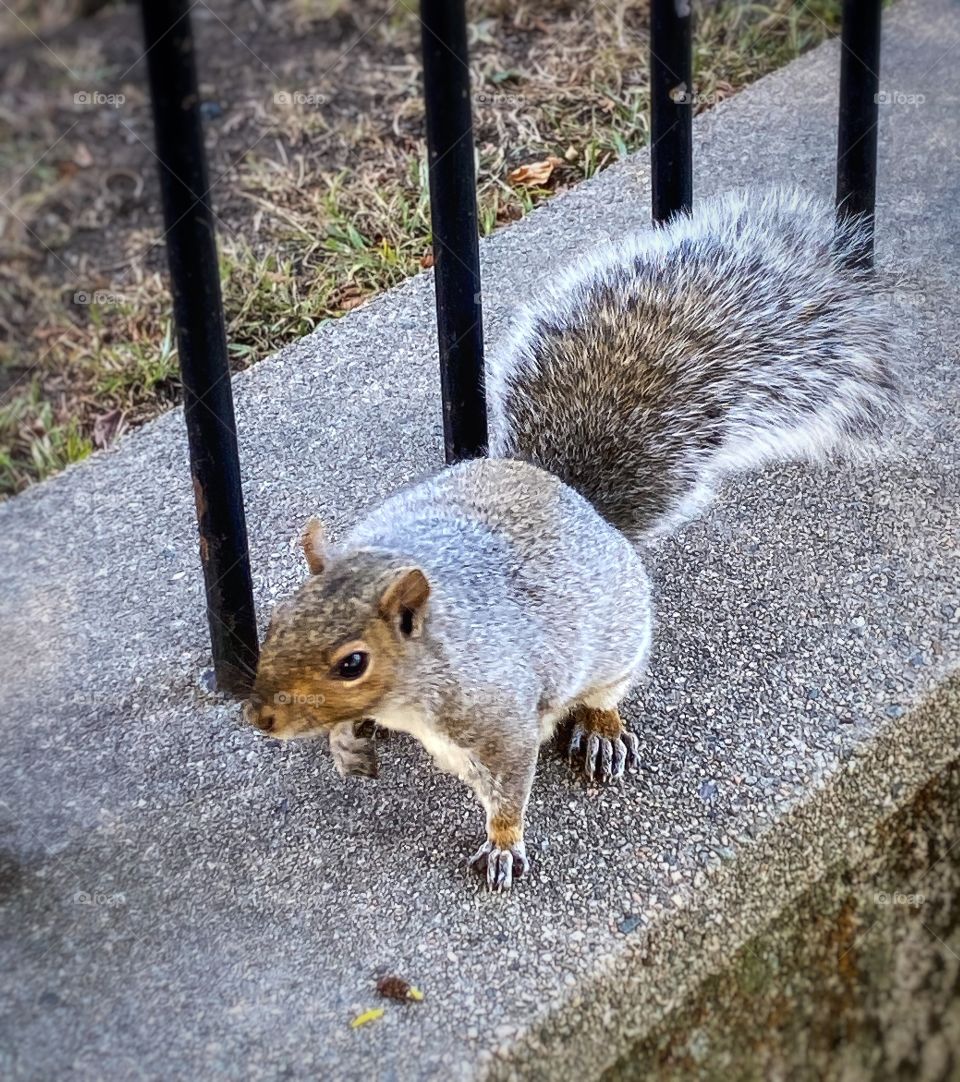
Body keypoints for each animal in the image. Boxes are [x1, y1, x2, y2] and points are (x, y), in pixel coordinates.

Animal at [243, 190, 904, 891]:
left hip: (618, 646)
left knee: (605, 692)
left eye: (353, 664)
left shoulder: (499, 719)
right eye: (277, 620)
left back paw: (601, 729)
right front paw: (345, 744)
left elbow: (509, 790)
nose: (261, 718)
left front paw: (503, 844)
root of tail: (572, 495)